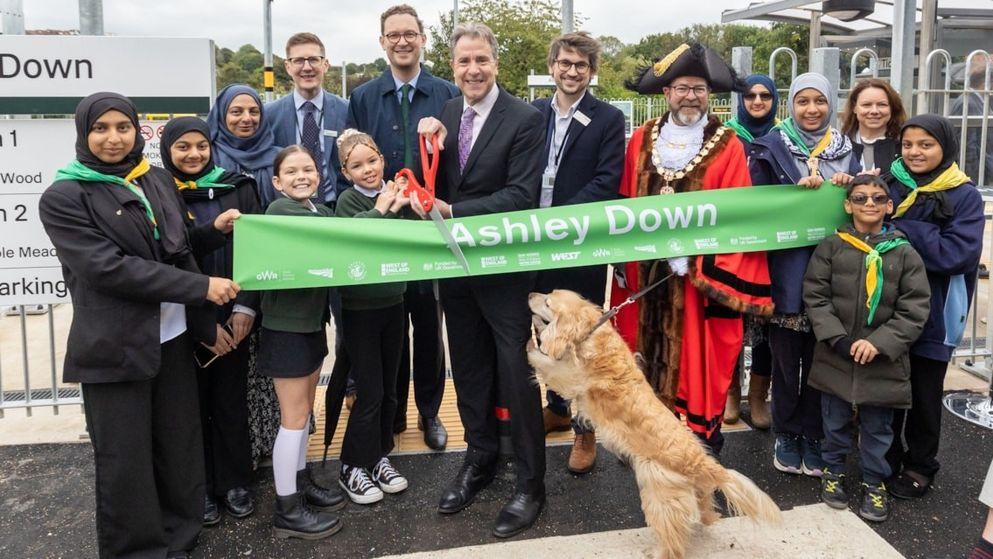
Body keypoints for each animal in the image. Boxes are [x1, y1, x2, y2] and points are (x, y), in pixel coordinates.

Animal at [528, 288, 784, 559]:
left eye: (547, 302)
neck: (593, 333)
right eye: (548, 293)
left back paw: (660, 551)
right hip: (696, 491)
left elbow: (545, 361)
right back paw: (707, 518)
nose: (531, 293)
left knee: (673, 535)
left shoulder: (569, 376)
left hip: (658, 492)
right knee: (705, 510)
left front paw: (531, 345)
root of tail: (703, 464)